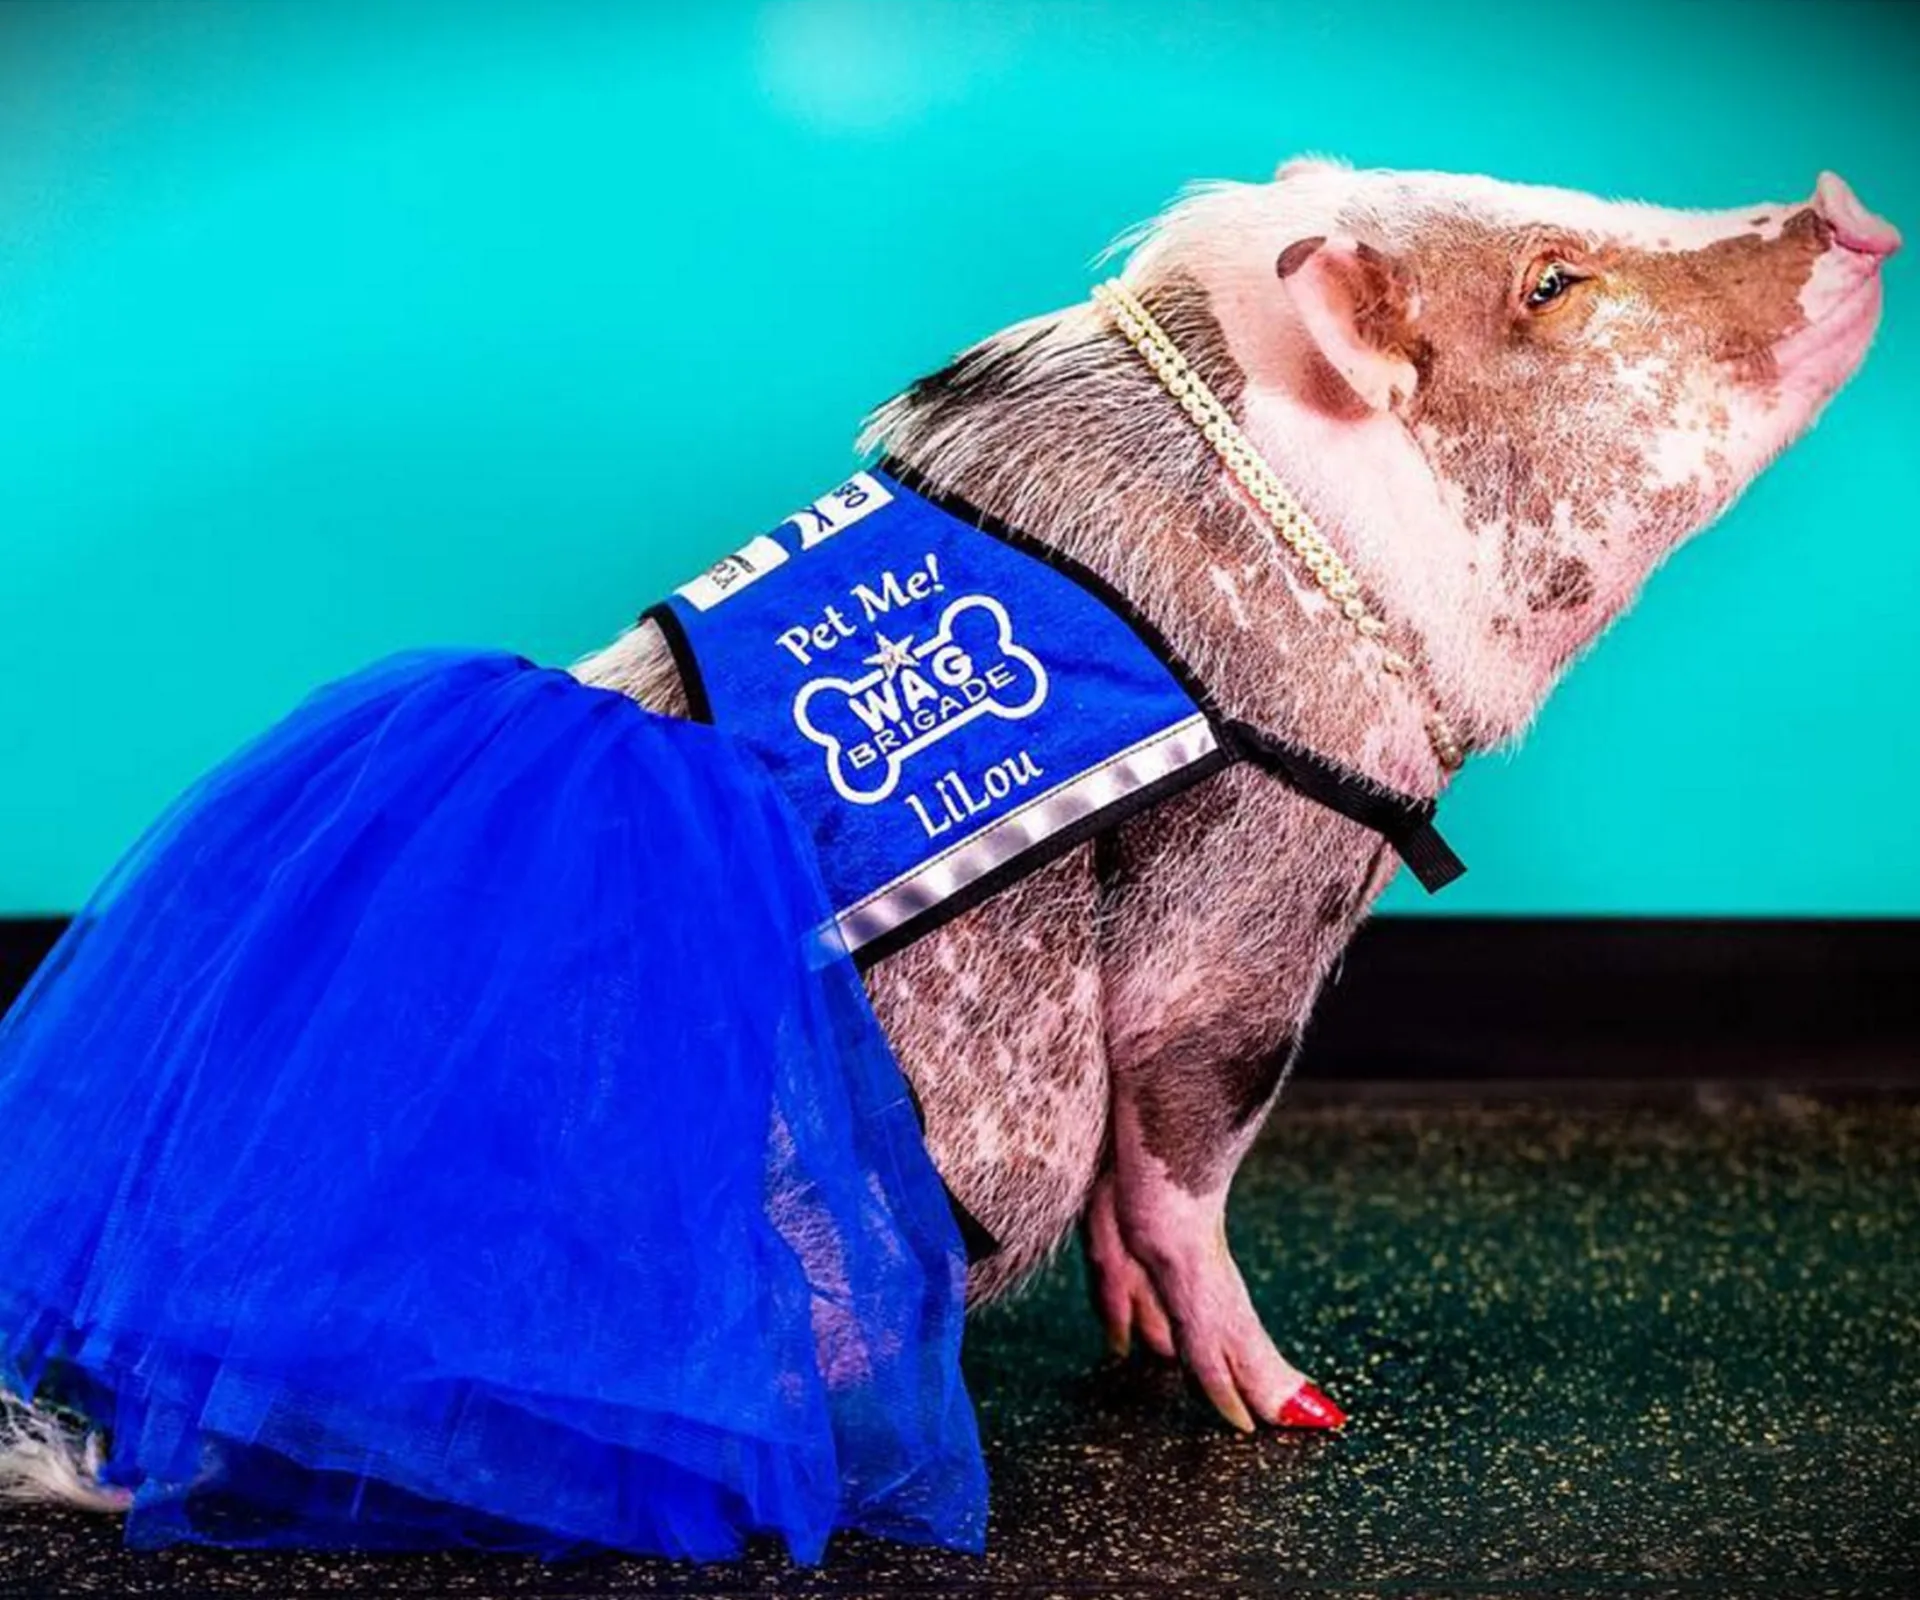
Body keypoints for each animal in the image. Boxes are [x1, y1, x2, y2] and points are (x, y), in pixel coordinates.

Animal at [579, 162, 1889, 1429]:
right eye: (1550, 284)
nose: (1846, 205)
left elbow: (1121, 1184)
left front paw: (1140, 1347)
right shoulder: (1249, 875)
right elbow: (1175, 1156)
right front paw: (1293, 1409)